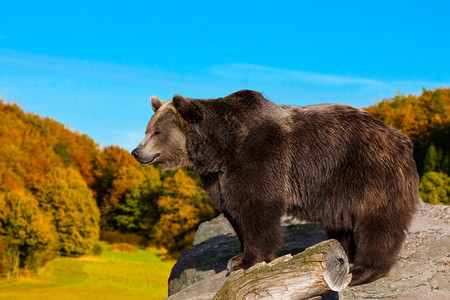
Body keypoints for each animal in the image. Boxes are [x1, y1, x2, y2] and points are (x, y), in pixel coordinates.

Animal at [132, 89, 420, 286]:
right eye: (147, 129)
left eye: (156, 132)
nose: (136, 152)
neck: (222, 149)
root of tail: (401, 138)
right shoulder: (219, 177)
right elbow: (233, 210)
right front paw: (236, 257)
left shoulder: (260, 157)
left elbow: (256, 207)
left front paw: (246, 261)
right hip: (338, 189)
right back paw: (343, 253)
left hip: (369, 171)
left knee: (378, 222)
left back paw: (362, 270)